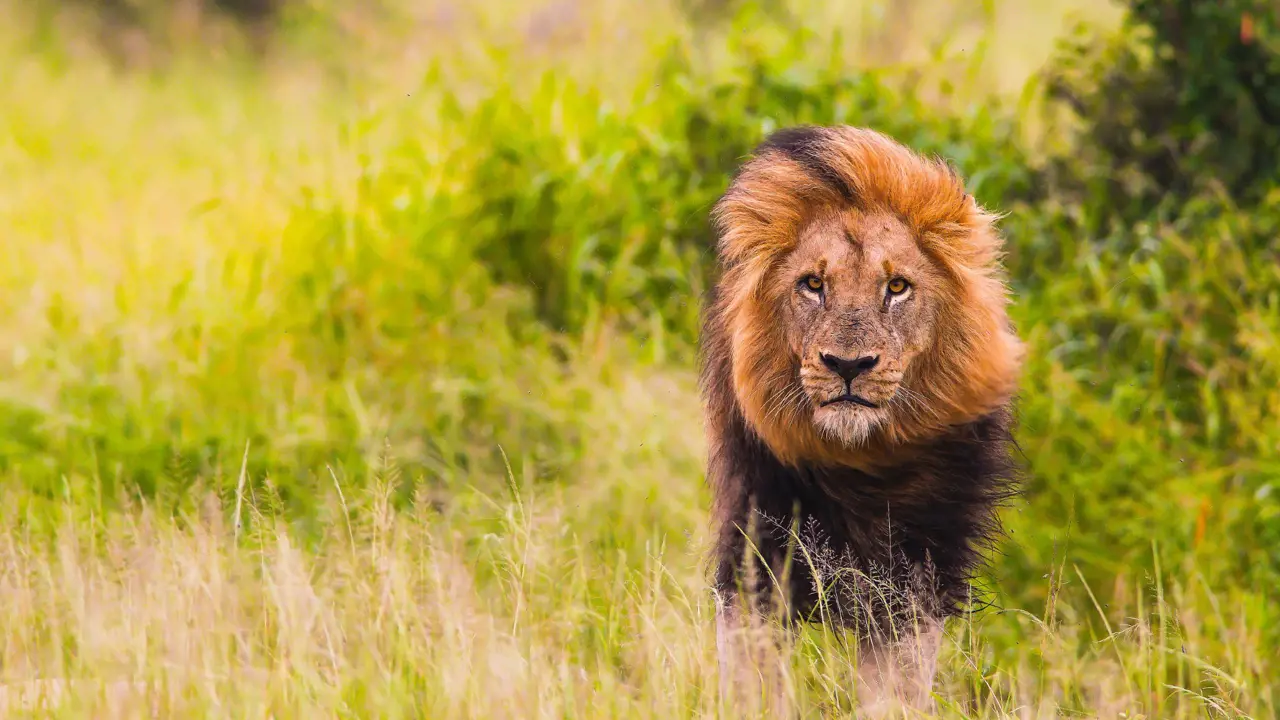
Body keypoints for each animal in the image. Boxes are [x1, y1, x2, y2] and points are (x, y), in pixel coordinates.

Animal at [701, 124, 1018, 712]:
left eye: (896, 287)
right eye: (812, 284)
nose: (848, 365)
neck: (860, 466)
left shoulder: (915, 579)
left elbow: (894, 691)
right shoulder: (757, 553)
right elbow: (753, 679)